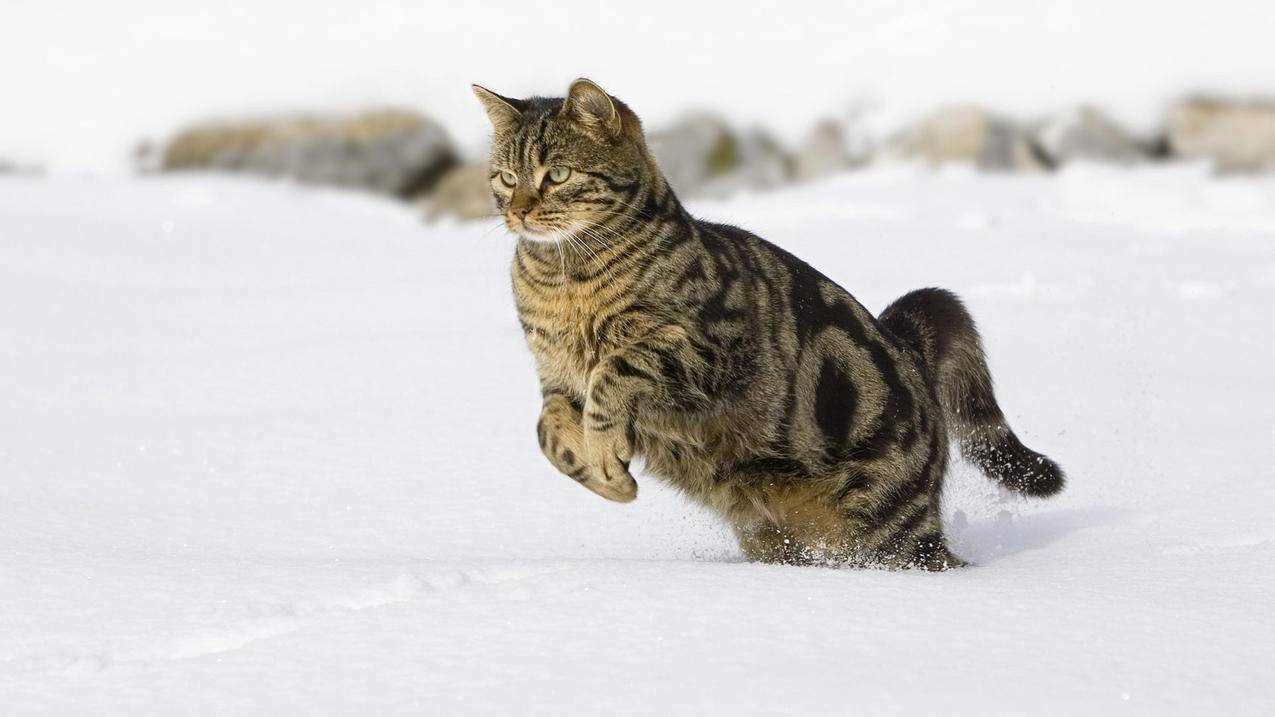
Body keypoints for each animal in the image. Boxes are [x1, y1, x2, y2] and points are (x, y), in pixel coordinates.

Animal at [474, 79, 1060, 569]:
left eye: (557, 174)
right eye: (506, 176)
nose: (518, 210)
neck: (563, 281)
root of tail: (909, 348)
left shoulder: (708, 349)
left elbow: (614, 372)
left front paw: (604, 452)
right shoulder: (554, 375)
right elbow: (547, 427)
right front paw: (607, 480)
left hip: (890, 532)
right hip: (775, 535)